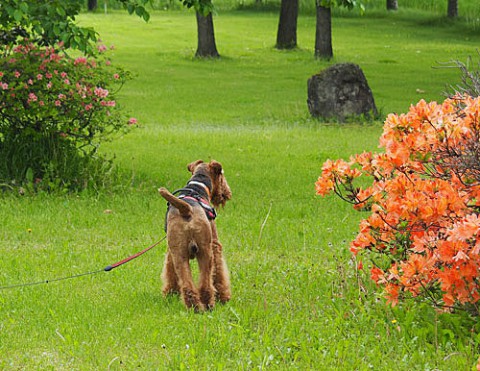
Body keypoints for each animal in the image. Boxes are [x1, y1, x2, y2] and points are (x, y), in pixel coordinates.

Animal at [158, 160, 232, 310]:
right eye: (222, 175)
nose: (227, 193)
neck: (197, 187)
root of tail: (186, 209)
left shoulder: (170, 252)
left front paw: (170, 293)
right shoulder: (215, 244)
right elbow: (219, 272)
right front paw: (223, 297)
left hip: (182, 254)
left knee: (189, 284)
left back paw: (195, 306)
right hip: (206, 251)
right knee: (206, 282)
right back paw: (208, 304)